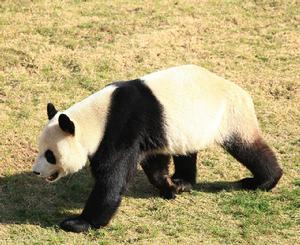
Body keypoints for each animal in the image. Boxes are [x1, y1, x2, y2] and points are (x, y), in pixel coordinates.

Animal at [31, 64, 282, 233]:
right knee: (185, 151)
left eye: (50, 155)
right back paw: (182, 181)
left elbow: (112, 178)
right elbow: (154, 164)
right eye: (40, 149)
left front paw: (79, 222)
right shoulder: (147, 137)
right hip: (187, 126)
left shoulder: (122, 129)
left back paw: (263, 181)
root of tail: (242, 92)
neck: (96, 119)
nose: (36, 171)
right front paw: (169, 187)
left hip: (229, 116)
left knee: (248, 149)